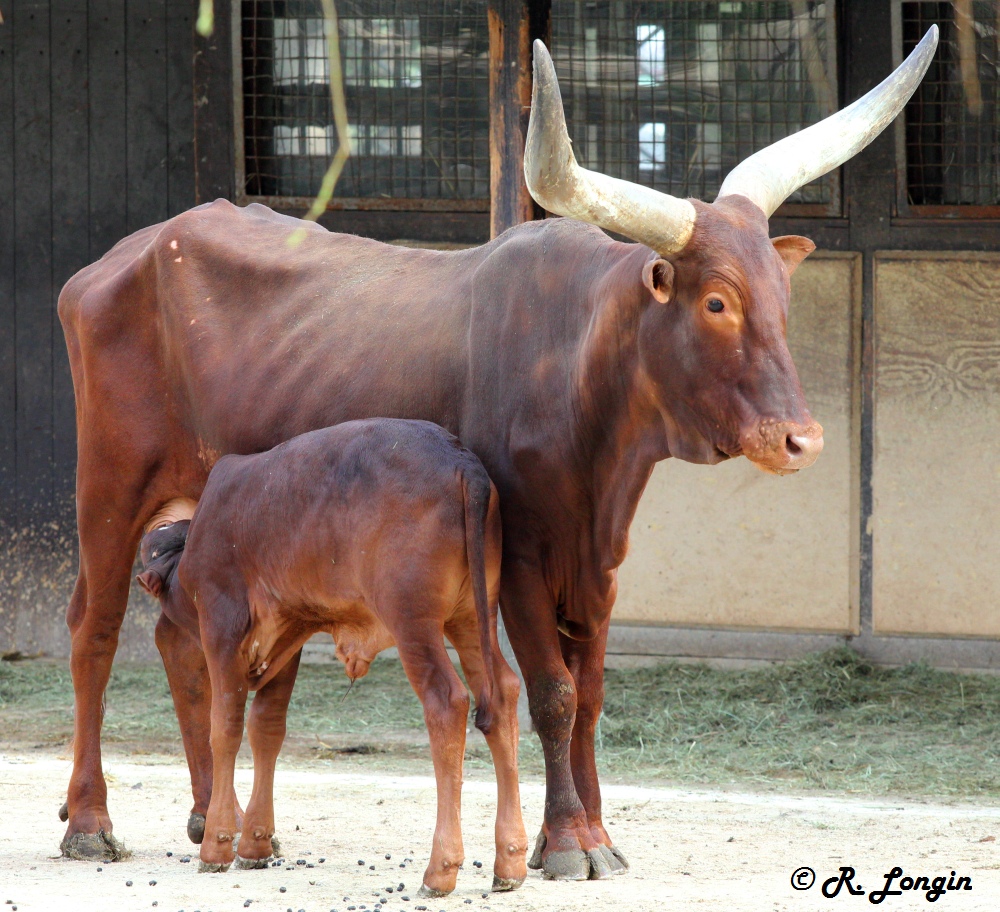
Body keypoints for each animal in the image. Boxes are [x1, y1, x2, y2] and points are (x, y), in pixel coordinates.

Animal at [137, 420, 528, 896]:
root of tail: (461, 459)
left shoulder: (221, 625)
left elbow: (225, 728)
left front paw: (217, 844)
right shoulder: (288, 635)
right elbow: (266, 728)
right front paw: (255, 843)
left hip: (412, 621)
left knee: (447, 700)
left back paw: (440, 868)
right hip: (473, 616)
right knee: (502, 694)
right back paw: (510, 861)